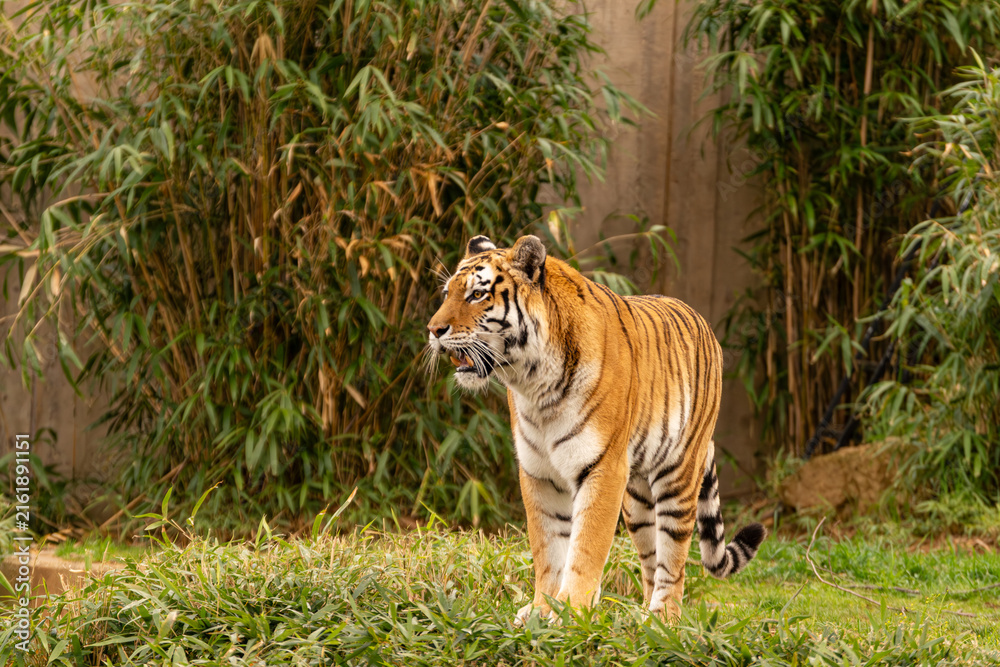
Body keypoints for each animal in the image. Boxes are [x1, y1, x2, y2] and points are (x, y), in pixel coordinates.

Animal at [426, 234, 766, 624]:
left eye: (477, 294)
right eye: (447, 293)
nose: (433, 330)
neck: (535, 385)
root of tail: (701, 321)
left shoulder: (603, 468)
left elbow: (587, 545)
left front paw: (571, 610)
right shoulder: (538, 472)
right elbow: (547, 548)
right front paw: (542, 608)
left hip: (678, 479)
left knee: (674, 561)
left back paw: (664, 617)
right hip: (637, 500)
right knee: (650, 560)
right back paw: (643, 617)